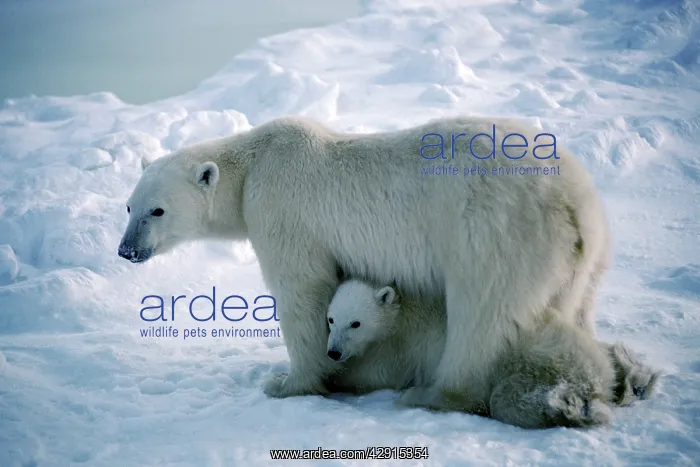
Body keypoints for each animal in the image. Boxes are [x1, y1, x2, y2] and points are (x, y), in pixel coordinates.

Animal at [118, 114, 611, 413]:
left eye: (157, 211)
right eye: (128, 207)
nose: (126, 250)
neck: (254, 163)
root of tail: (572, 202)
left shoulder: (282, 209)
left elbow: (303, 290)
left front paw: (288, 382)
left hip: (494, 234)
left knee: (482, 314)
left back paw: (432, 393)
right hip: (582, 257)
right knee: (572, 310)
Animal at [324, 279, 661, 428]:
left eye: (355, 323)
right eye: (330, 319)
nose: (333, 352)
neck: (401, 310)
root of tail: (595, 376)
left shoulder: (402, 346)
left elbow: (374, 373)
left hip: (528, 365)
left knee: (507, 401)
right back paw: (632, 374)